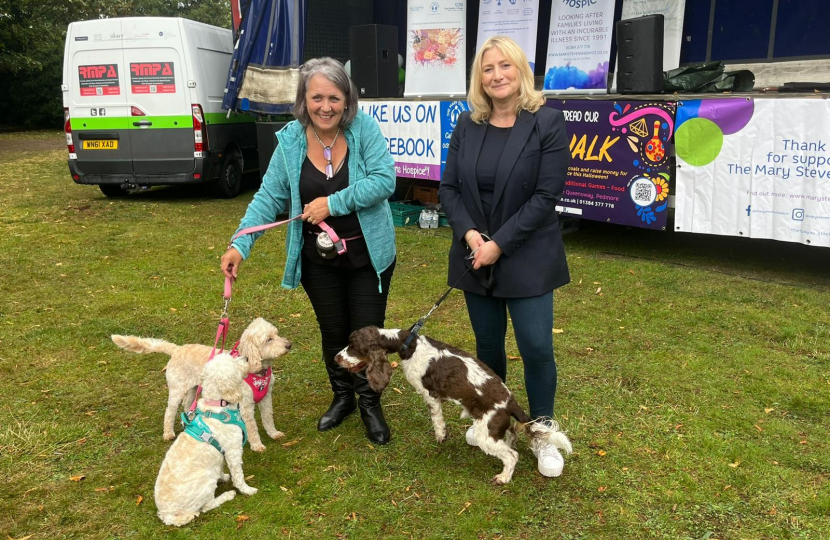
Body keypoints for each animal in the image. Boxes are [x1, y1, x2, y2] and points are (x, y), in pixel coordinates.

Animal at [110, 316, 292, 452]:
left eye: (277, 334)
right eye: (269, 339)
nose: (289, 345)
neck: (258, 371)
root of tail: (176, 349)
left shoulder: (266, 398)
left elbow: (268, 417)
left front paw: (273, 433)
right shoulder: (246, 405)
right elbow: (252, 427)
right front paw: (257, 445)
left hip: (193, 389)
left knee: (187, 405)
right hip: (176, 390)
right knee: (170, 411)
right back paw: (168, 432)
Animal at [154, 350, 258, 528]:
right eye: (233, 362)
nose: (246, 358)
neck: (218, 406)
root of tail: (167, 514)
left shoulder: (222, 454)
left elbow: (221, 467)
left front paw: (223, 476)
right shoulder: (233, 451)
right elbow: (238, 475)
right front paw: (247, 490)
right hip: (205, 484)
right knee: (206, 506)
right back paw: (228, 495)